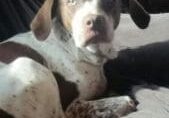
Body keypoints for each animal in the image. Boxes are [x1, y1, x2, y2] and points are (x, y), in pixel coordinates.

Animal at [0, 0, 149, 117]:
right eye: (71, 2)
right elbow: (77, 106)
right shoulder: (69, 102)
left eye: (109, 1)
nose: (94, 22)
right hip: (31, 66)